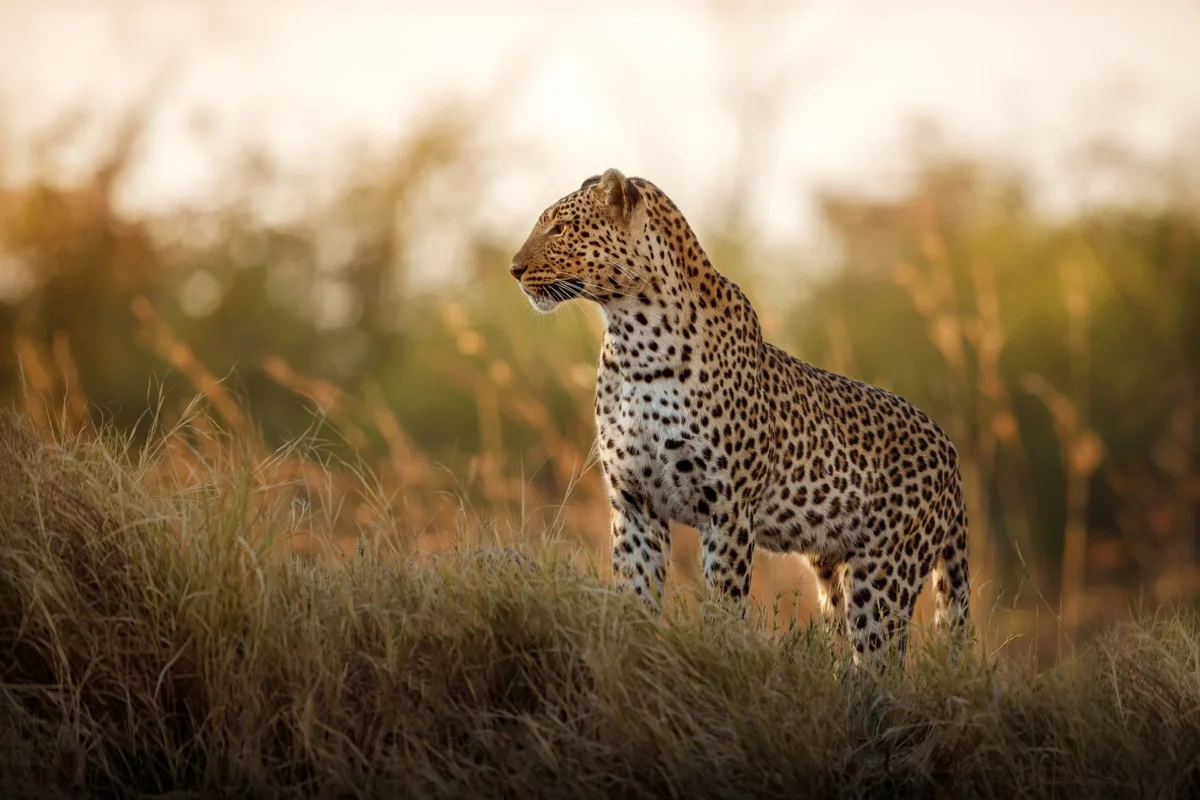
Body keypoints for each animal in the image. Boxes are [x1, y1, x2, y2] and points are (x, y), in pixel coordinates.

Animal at [509, 168, 970, 666]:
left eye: (559, 228)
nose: (514, 269)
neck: (634, 338)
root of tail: (950, 450)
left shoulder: (727, 509)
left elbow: (723, 606)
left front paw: (716, 659)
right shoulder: (634, 503)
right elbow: (635, 598)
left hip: (884, 574)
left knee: (881, 663)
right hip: (833, 572)